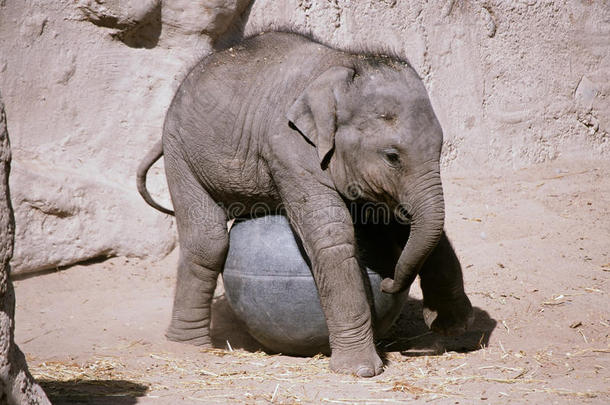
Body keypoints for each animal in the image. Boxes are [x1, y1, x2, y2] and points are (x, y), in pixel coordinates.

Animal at [137, 30, 470, 376]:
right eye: (392, 156)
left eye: (441, 147)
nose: (389, 282)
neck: (343, 66)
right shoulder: (290, 147)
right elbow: (331, 233)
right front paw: (360, 370)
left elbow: (398, 220)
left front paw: (454, 326)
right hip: (181, 152)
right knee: (207, 242)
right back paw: (188, 346)